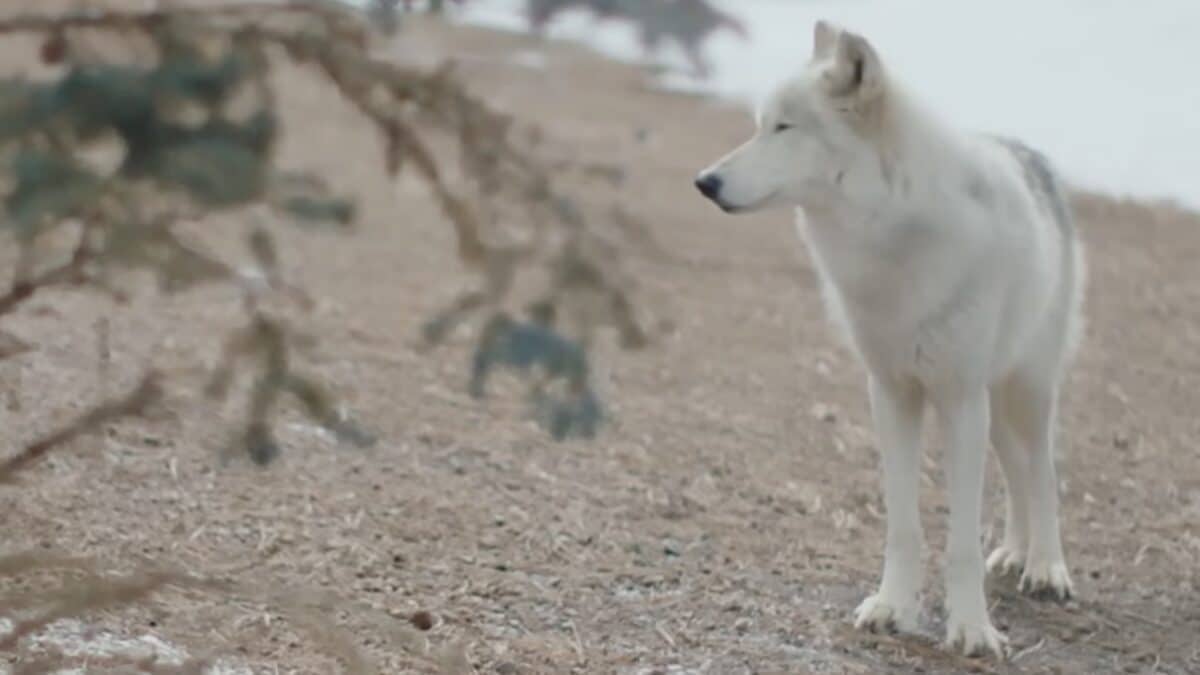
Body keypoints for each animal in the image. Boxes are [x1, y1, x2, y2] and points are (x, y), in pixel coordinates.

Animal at [694, 21, 1085, 659]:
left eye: (785, 127)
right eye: (759, 124)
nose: (705, 182)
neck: (893, 235)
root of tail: (1030, 154)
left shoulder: (958, 399)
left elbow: (961, 542)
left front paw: (971, 630)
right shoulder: (891, 394)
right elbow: (904, 527)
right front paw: (892, 607)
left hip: (1025, 391)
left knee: (1043, 475)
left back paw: (1046, 569)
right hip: (995, 403)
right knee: (1016, 473)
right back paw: (1013, 553)